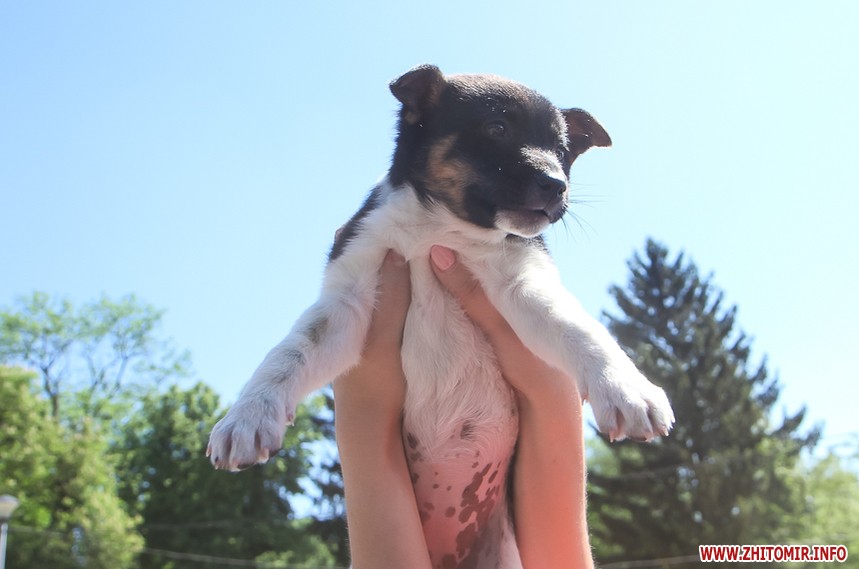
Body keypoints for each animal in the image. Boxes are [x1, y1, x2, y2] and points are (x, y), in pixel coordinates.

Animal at [208, 65, 674, 568]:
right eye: (497, 128)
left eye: (563, 152)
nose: (557, 185)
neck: (442, 228)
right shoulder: (348, 297)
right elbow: (289, 352)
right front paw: (248, 416)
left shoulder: (524, 284)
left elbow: (582, 332)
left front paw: (627, 388)